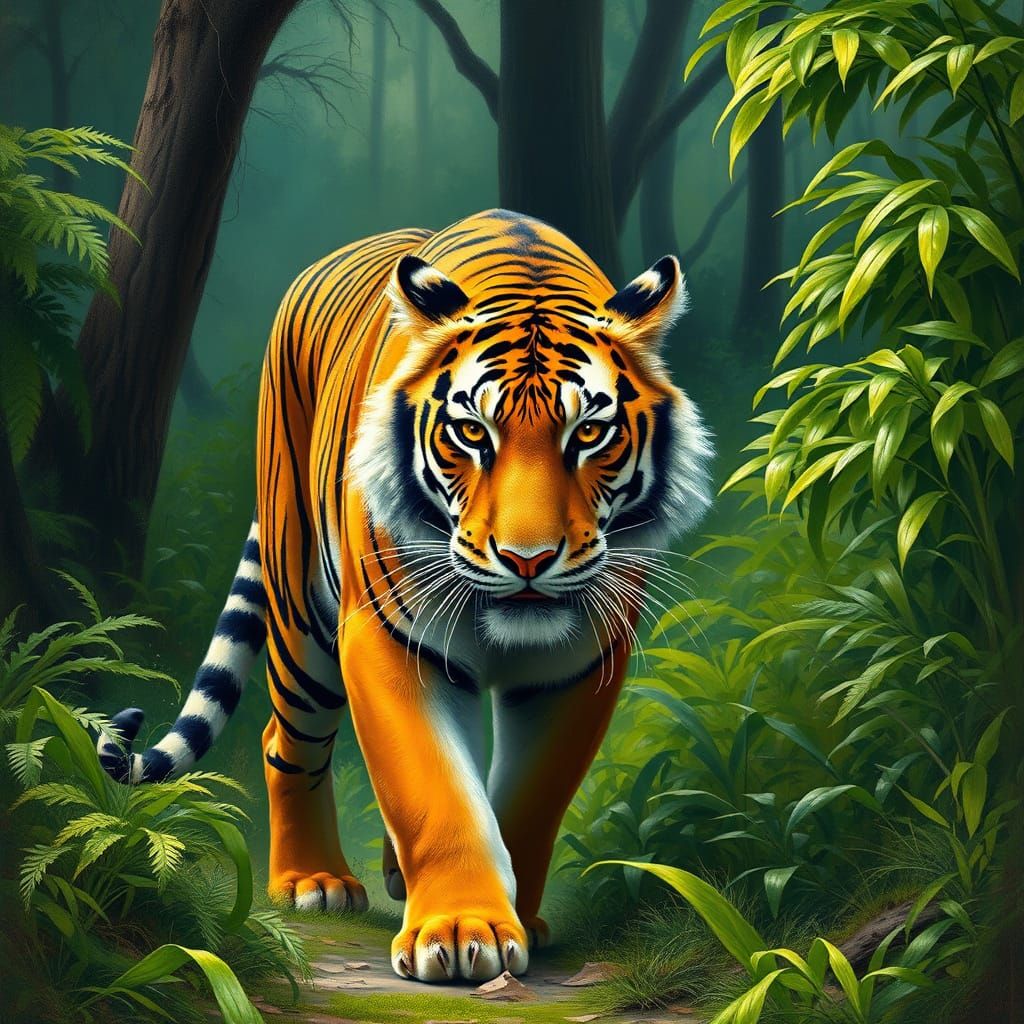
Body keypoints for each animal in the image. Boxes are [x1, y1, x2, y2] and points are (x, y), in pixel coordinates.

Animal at [98, 208, 712, 984]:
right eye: (472, 432)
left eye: (591, 433)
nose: (529, 559)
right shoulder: (390, 640)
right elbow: (434, 791)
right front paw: (459, 930)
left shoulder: (577, 665)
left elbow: (528, 804)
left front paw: (517, 916)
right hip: (302, 618)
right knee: (284, 740)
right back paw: (313, 881)